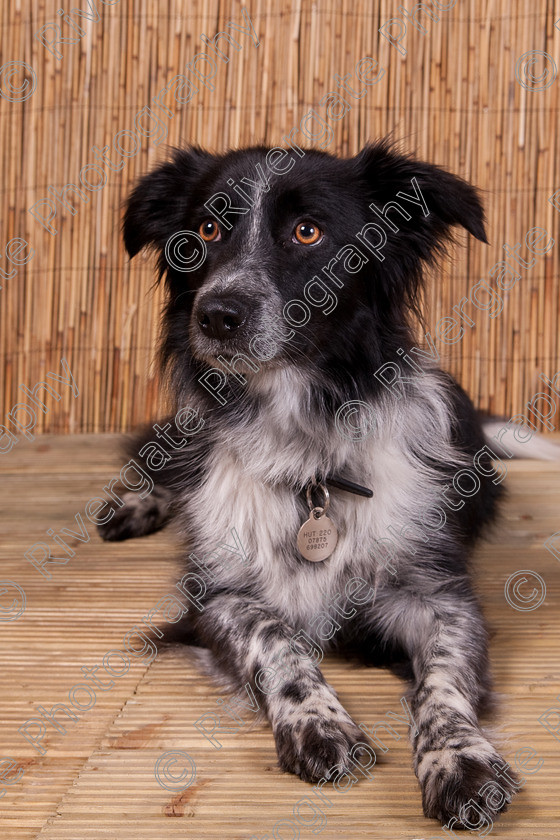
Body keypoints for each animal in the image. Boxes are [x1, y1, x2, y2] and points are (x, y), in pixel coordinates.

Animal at [97, 139, 552, 828]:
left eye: (307, 231)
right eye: (205, 231)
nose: (217, 314)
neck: (306, 449)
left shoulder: (440, 596)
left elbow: (442, 683)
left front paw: (460, 760)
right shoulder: (217, 596)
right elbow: (276, 640)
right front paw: (316, 723)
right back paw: (136, 505)